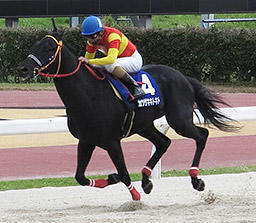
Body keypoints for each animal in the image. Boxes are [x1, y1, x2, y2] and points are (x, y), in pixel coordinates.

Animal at [17, 34, 238, 201]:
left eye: (48, 48)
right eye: (33, 45)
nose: (23, 68)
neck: (87, 94)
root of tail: (184, 77)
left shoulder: (111, 141)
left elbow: (123, 172)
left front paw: (135, 197)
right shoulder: (86, 140)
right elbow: (80, 176)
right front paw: (113, 178)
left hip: (179, 120)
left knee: (201, 135)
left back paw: (195, 178)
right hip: (144, 124)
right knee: (164, 142)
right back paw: (147, 179)